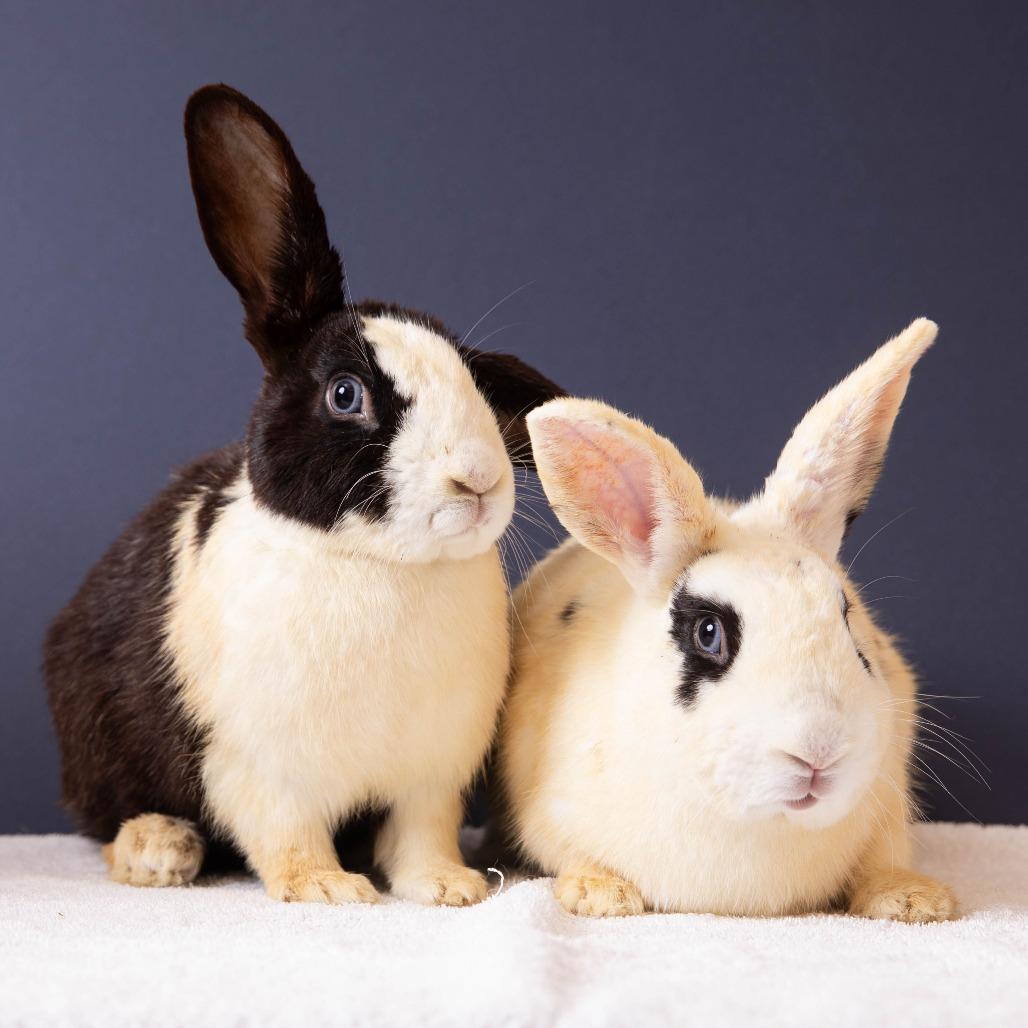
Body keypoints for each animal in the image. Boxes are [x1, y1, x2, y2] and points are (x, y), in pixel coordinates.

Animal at [43, 84, 563, 905]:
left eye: (476, 385)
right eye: (346, 394)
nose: (478, 477)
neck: (383, 568)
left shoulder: (430, 777)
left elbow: (419, 837)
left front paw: (451, 887)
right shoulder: (258, 771)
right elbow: (287, 837)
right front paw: (328, 890)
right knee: (109, 817)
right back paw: (156, 851)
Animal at [498, 317, 956, 922]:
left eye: (846, 617)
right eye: (708, 633)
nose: (819, 750)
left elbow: (881, 861)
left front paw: (913, 900)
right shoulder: (550, 808)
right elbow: (570, 852)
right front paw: (600, 895)